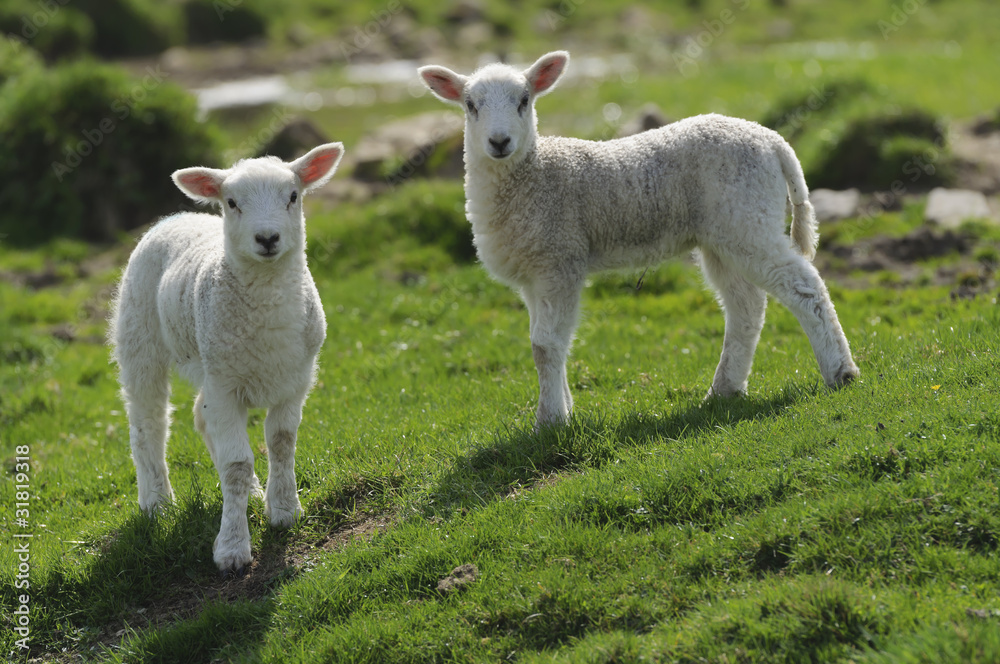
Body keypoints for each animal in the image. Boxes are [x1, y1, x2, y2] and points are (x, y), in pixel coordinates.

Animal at [108, 143, 343, 574]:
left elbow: (281, 442)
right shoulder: (225, 386)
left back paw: (252, 491)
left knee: (202, 418)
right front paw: (232, 547)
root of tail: (175, 217)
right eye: (232, 203)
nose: (267, 238)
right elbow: (236, 465)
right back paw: (157, 503)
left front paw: (283, 510)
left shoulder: (295, 378)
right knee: (147, 424)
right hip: (139, 339)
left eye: (293, 196)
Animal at [418, 51, 859, 429]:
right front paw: (564, 408)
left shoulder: (561, 259)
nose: (499, 142)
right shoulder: (533, 272)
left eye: (524, 100)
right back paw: (724, 391)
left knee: (804, 287)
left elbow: (545, 345)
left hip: (748, 219)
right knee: (746, 309)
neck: (533, 174)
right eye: (470, 105)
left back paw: (841, 372)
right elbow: (545, 343)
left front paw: (550, 422)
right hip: (724, 235)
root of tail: (773, 141)